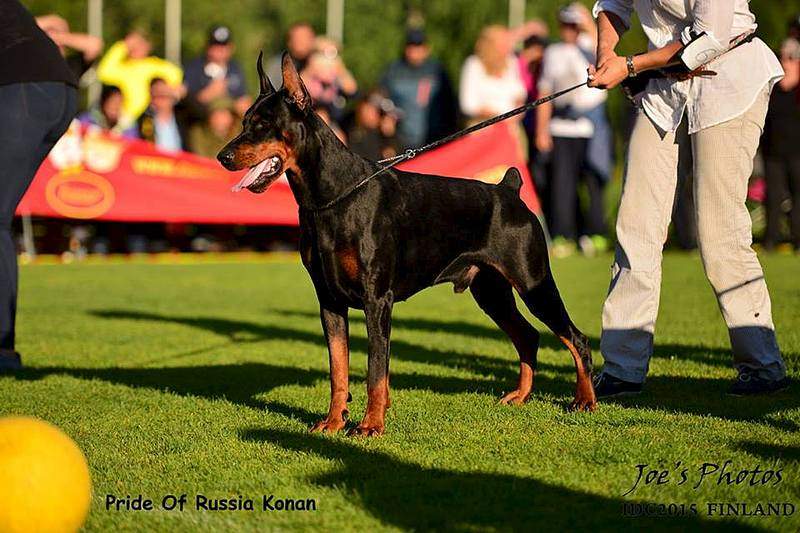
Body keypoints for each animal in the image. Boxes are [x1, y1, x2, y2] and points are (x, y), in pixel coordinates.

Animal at [219, 52, 592, 436]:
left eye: (264, 124)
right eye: (244, 121)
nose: (223, 157)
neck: (331, 198)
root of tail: (510, 190)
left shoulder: (377, 300)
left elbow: (375, 370)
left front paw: (370, 424)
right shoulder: (329, 302)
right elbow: (339, 369)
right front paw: (334, 421)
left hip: (534, 283)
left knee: (575, 339)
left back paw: (584, 400)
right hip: (491, 292)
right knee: (528, 336)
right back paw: (520, 396)